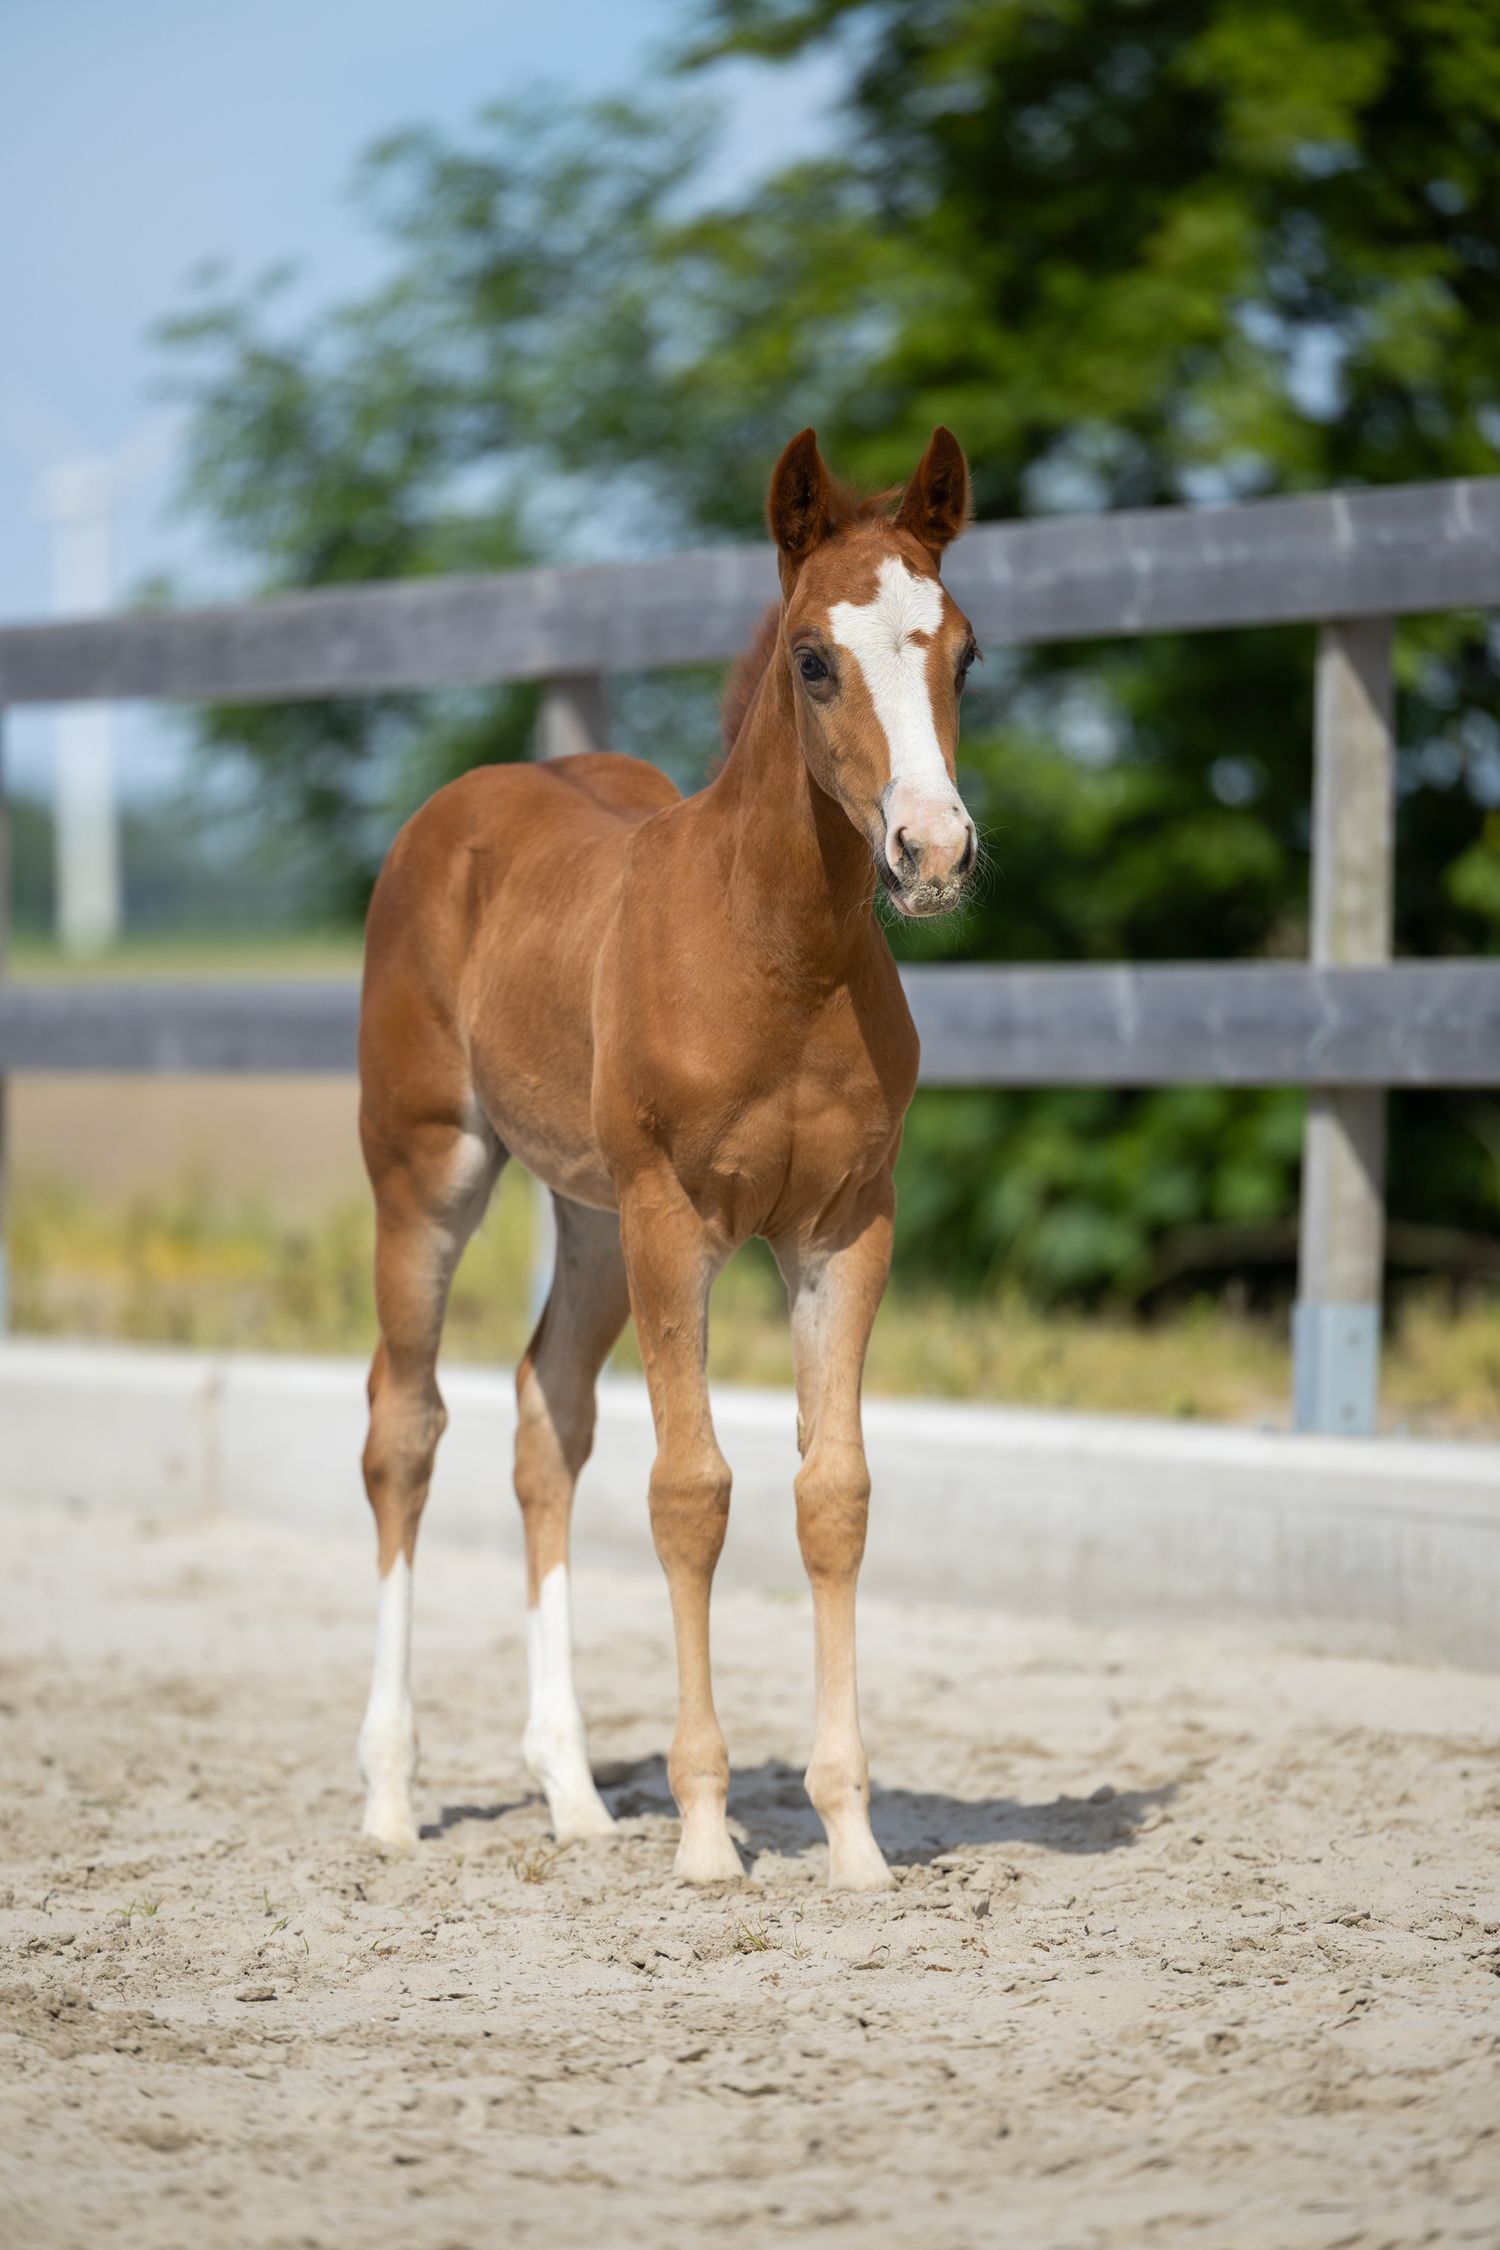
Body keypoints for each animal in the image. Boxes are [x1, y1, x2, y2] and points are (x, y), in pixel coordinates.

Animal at [355, 425, 979, 1890]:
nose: (932, 850)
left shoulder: (844, 1229)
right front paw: (704, 1834)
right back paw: (392, 1797)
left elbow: (834, 1495)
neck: (776, 955)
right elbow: (692, 1491)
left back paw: (576, 1792)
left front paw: (852, 1836)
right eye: (813, 658)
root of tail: (457, 807)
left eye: (965, 654)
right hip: (433, 1171)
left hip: (586, 1214)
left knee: (546, 1419)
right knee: (405, 1425)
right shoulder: (675, 1219)